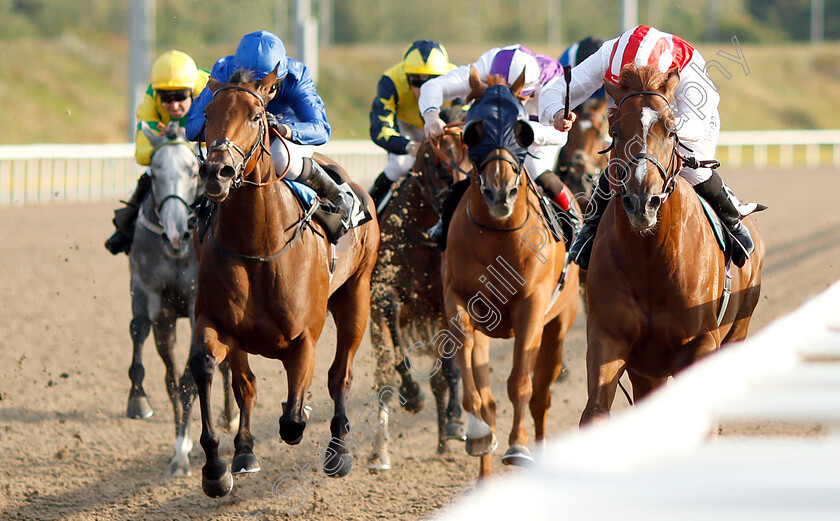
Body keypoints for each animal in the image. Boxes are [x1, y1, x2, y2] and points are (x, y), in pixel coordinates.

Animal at [124, 123, 236, 476]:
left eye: (191, 170)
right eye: (155, 171)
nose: (176, 233)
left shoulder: (196, 301)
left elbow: (189, 379)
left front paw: (182, 452)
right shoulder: (150, 297)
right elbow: (142, 336)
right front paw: (140, 402)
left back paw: (230, 417)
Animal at [190, 69, 378, 496]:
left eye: (257, 116)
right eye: (207, 113)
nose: (217, 172)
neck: (258, 247)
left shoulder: (304, 337)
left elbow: (293, 420)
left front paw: (303, 410)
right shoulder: (215, 323)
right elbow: (208, 368)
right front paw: (216, 468)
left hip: (356, 296)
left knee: (341, 375)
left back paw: (339, 451)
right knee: (246, 383)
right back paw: (244, 451)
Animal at [370, 109, 472, 472]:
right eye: (441, 165)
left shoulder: (445, 307)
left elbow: (448, 371)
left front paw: (453, 425)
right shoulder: (381, 298)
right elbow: (396, 358)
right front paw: (413, 395)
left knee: (444, 376)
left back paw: (446, 438)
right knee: (384, 374)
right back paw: (380, 450)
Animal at [580, 64, 764, 426]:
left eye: (670, 130)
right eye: (615, 131)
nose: (642, 202)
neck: (649, 260)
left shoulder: (700, 342)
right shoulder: (609, 338)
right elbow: (594, 413)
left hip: (738, 328)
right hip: (647, 372)